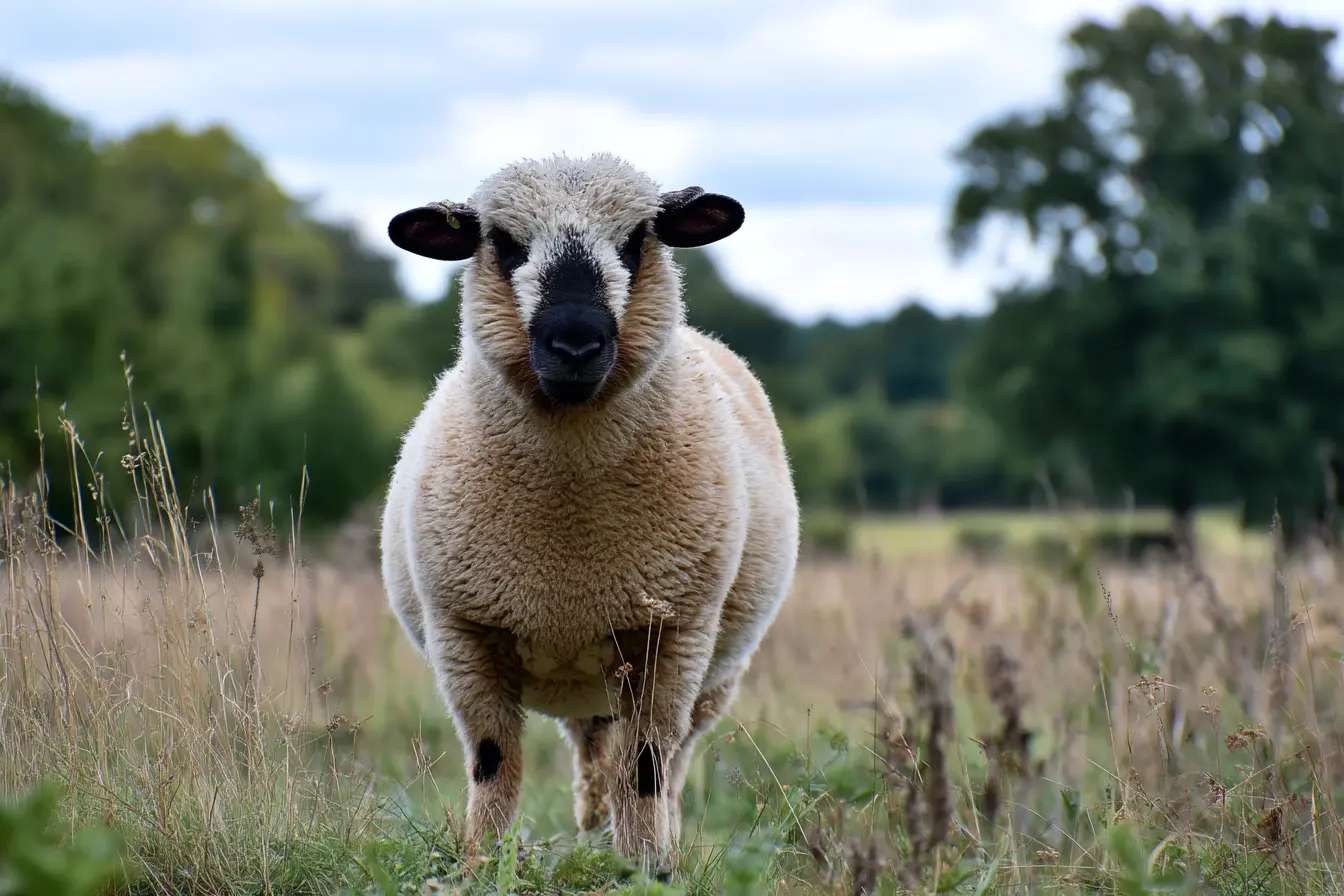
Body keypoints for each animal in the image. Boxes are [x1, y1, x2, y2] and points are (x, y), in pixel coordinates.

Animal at [378, 152, 800, 877]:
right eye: (504, 241)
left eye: (635, 239)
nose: (574, 344)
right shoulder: (465, 634)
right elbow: (493, 764)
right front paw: (481, 865)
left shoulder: (673, 636)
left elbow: (648, 767)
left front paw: (648, 873)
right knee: (595, 755)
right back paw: (594, 830)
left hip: (713, 676)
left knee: (669, 762)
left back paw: (642, 843)